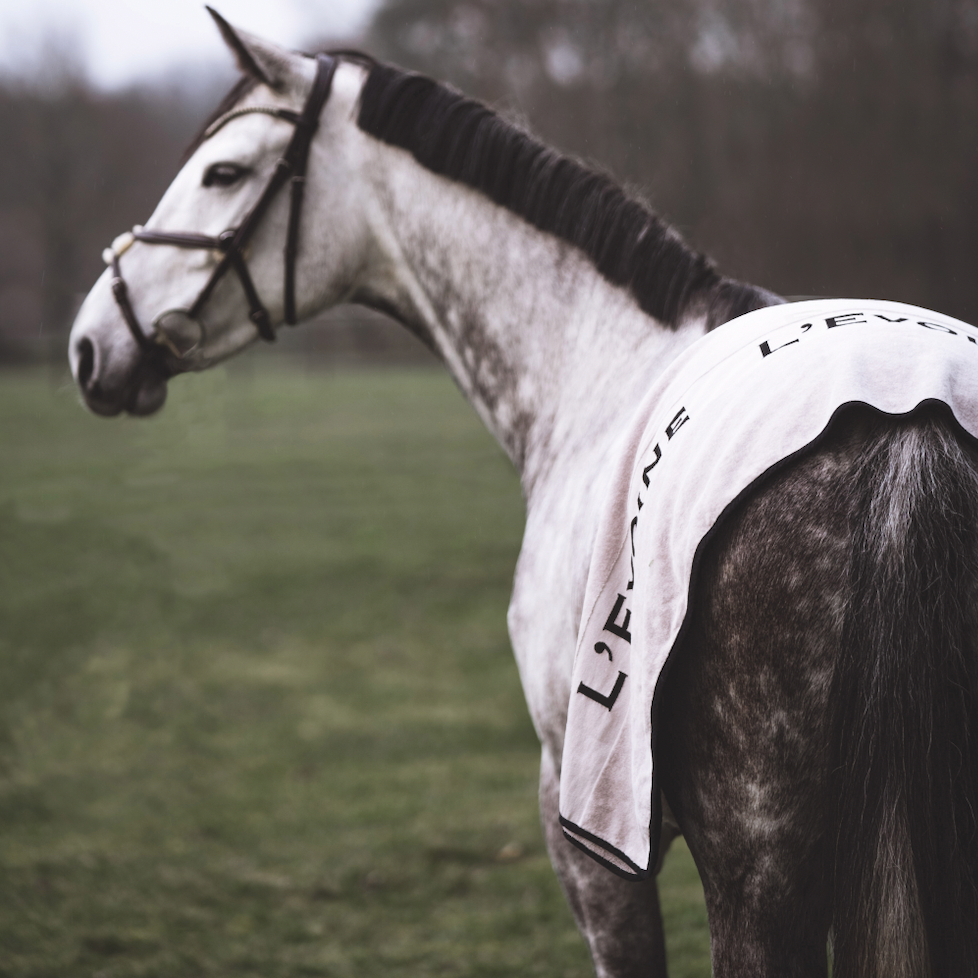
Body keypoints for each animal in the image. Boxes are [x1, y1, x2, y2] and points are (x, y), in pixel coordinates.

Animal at [68, 9, 976, 976]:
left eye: (224, 173)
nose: (92, 342)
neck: (599, 363)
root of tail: (910, 421)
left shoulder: (586, 832)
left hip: (759, 876)